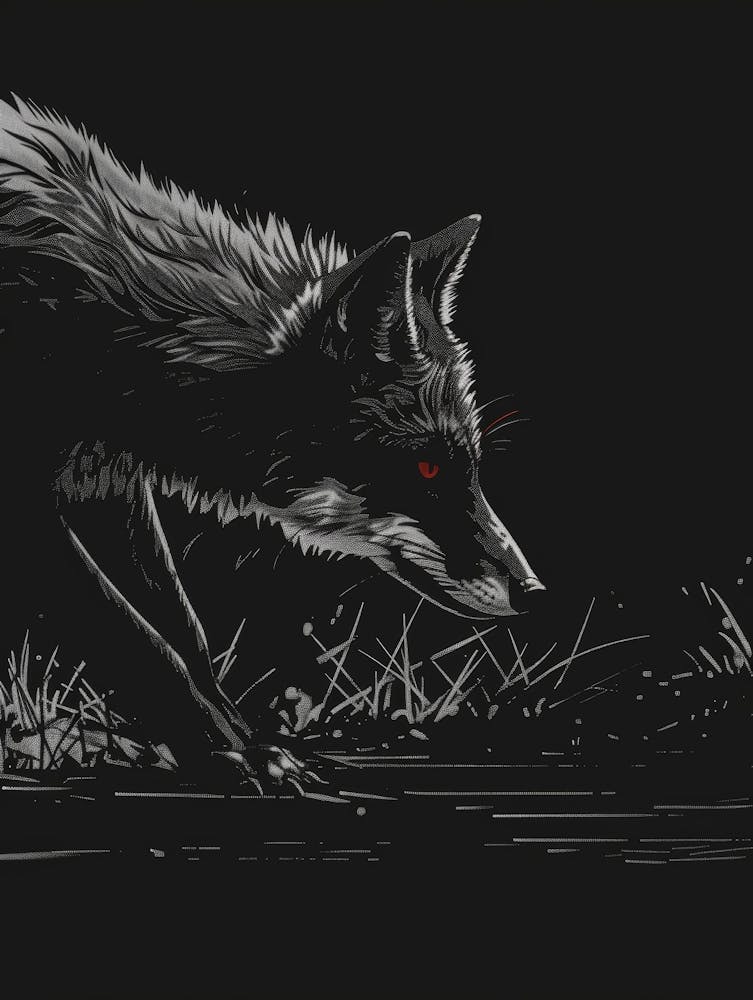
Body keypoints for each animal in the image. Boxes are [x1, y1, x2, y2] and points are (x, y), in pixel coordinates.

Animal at [0, 96, 544, 785]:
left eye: (470, 467)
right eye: (425, 470)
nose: (534, 593)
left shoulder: (103, 488)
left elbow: (186, 634)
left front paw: (243, 739)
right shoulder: (32, 510)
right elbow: (136, 636)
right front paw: (231, 753)